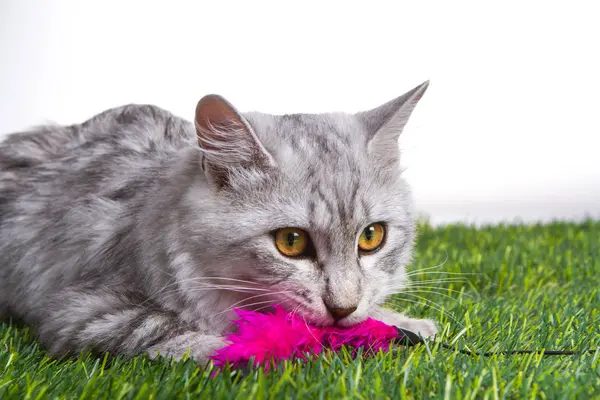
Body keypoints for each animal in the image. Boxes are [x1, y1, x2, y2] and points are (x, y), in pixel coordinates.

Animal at [2, 81, 438, 362]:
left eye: (371, 237)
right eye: (291, 241)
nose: (342, 308)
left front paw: (403, 323)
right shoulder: (83, 309)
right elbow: (167, 331)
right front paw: (263, 351)